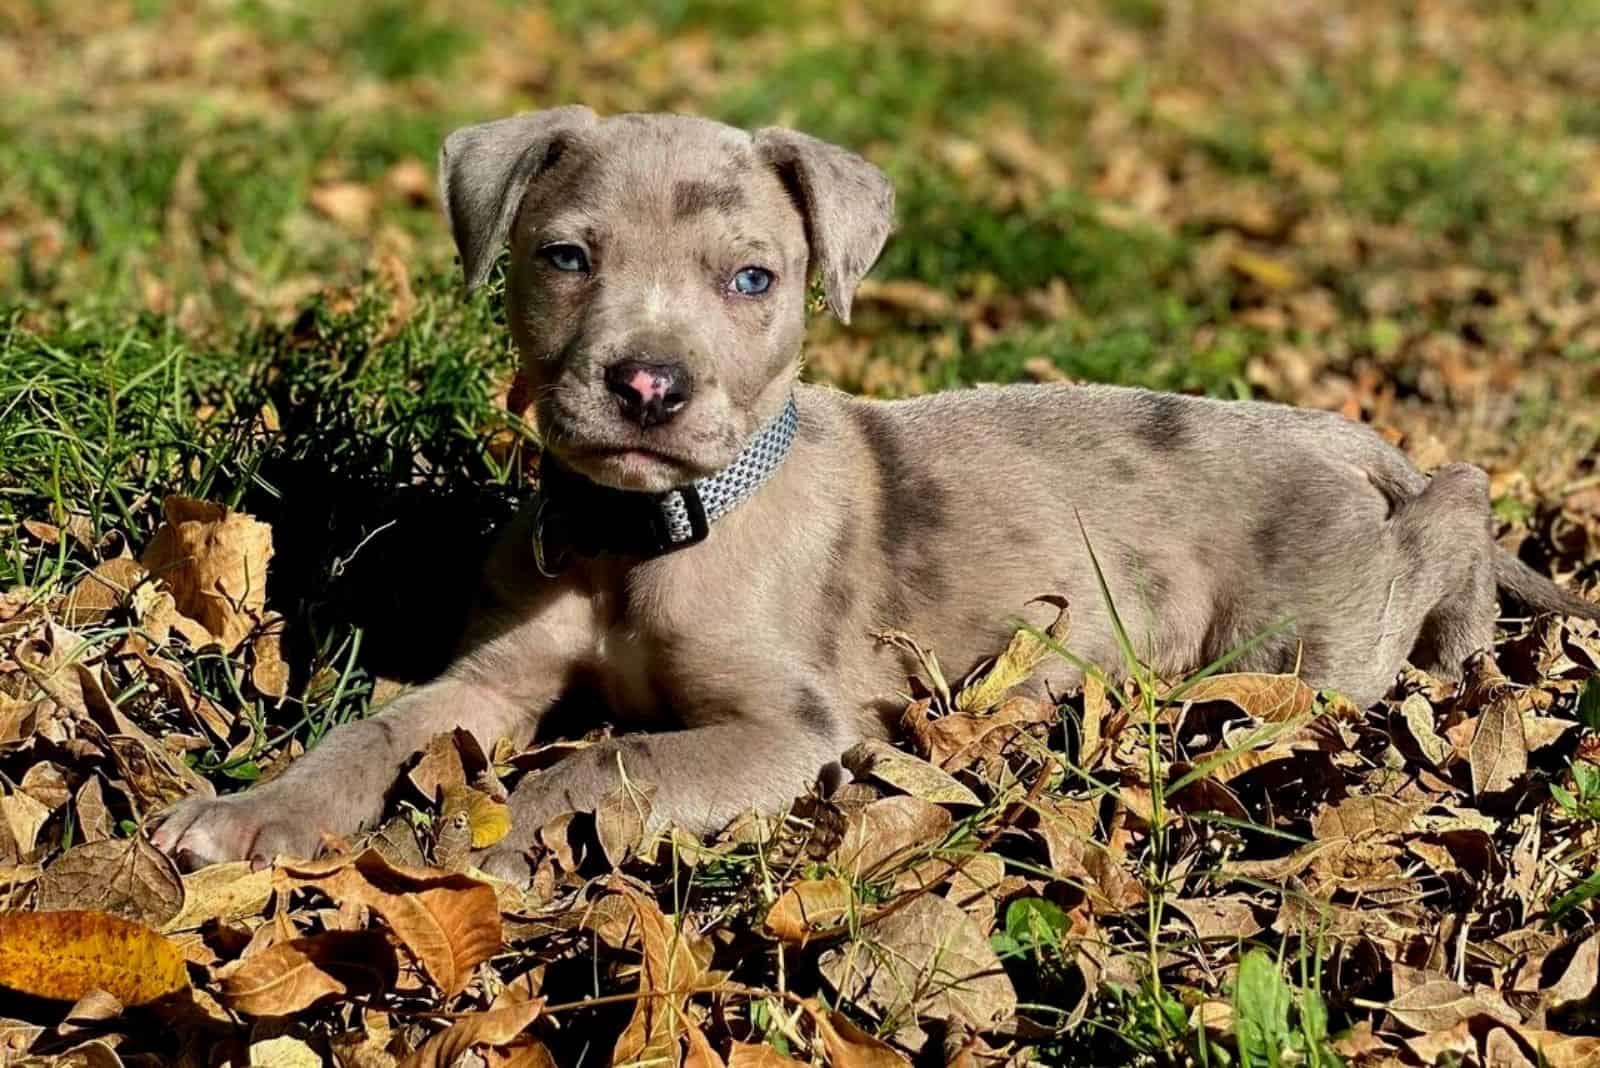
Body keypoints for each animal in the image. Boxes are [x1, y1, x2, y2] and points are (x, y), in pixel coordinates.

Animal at [150, 106, 1600, 882]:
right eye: (564, 257)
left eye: (753, 280)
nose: (646, 385)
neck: (639, 541)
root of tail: (1331, 432)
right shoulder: (490, 679)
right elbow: (381, 732)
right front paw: (253, 816)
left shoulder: (791, 728)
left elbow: (607, 761)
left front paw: (491, 840)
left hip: (1304, 634)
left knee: (1453, 507)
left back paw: (1472, 635)